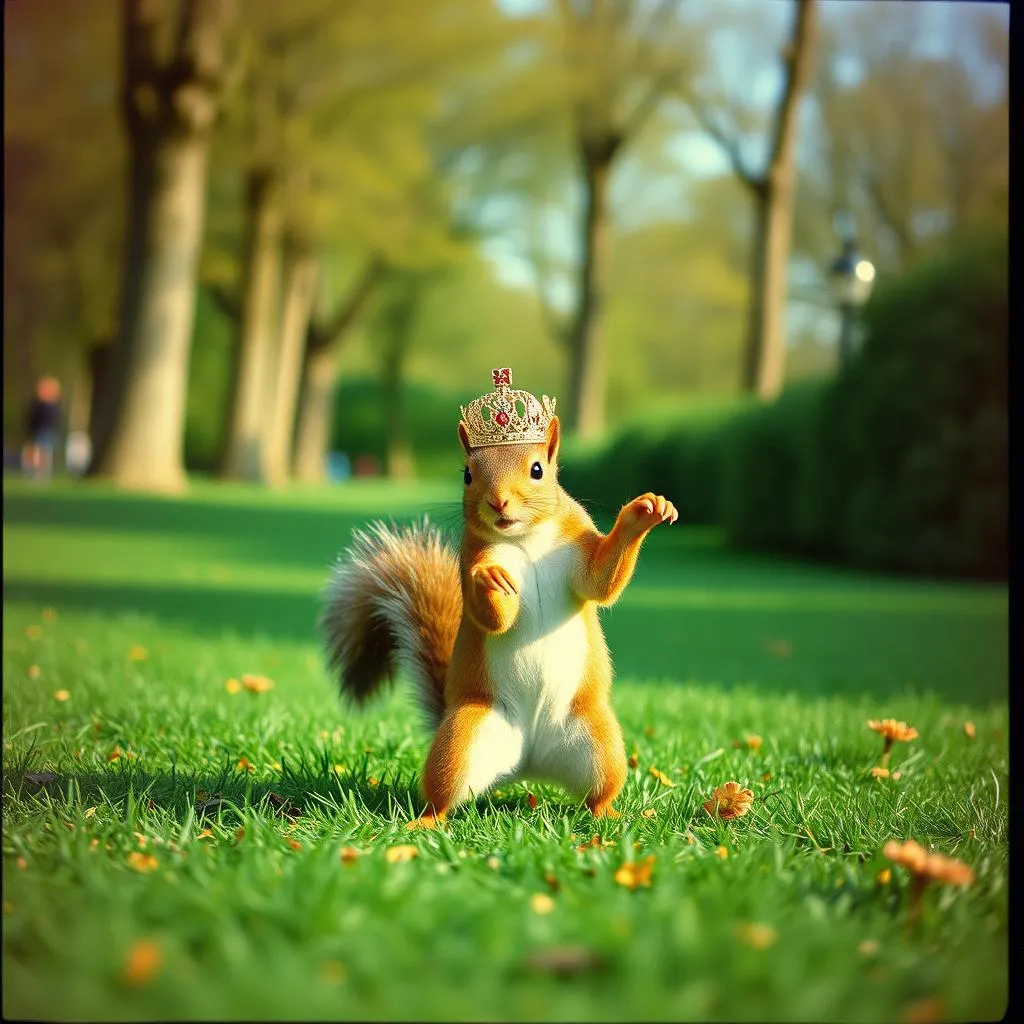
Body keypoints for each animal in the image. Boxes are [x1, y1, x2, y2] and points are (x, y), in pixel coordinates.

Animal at [320, 368, 677, 830]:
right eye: (467, 475)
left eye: (538, 469)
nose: (498, 501)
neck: (525, 538)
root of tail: (527, 764)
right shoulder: (471, 553)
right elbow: (492, 618)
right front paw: (488, 579)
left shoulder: (578, 547)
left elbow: (601, 583)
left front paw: (644, 512)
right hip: (462, 741)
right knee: (443, 794)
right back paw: (425, 821)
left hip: (598, 743)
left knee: (598, 792)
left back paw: (611, 815)